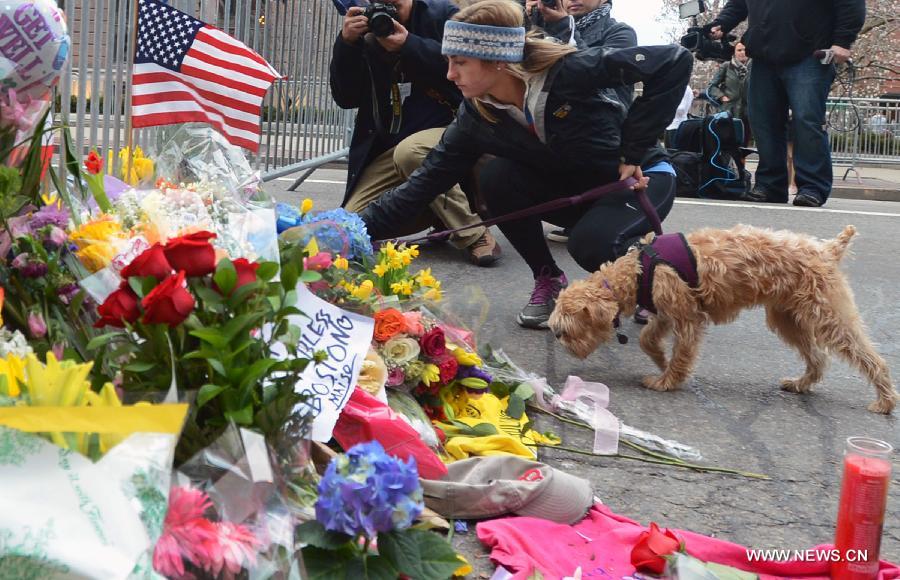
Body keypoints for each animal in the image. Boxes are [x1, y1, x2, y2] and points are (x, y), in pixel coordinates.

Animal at [544, 224, 896, 414]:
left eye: (565, 330)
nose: (559, 341)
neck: (640, 270)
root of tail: (827, 250)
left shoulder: (687, 319)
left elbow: (682, 355)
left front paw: (667, 381)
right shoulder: (667, 313)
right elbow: (647, 340)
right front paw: (660, 362)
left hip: (828, 317)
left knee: (870, 358)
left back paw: (885, 400)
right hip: (787, 319)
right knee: (818, 359)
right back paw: (800, 384)